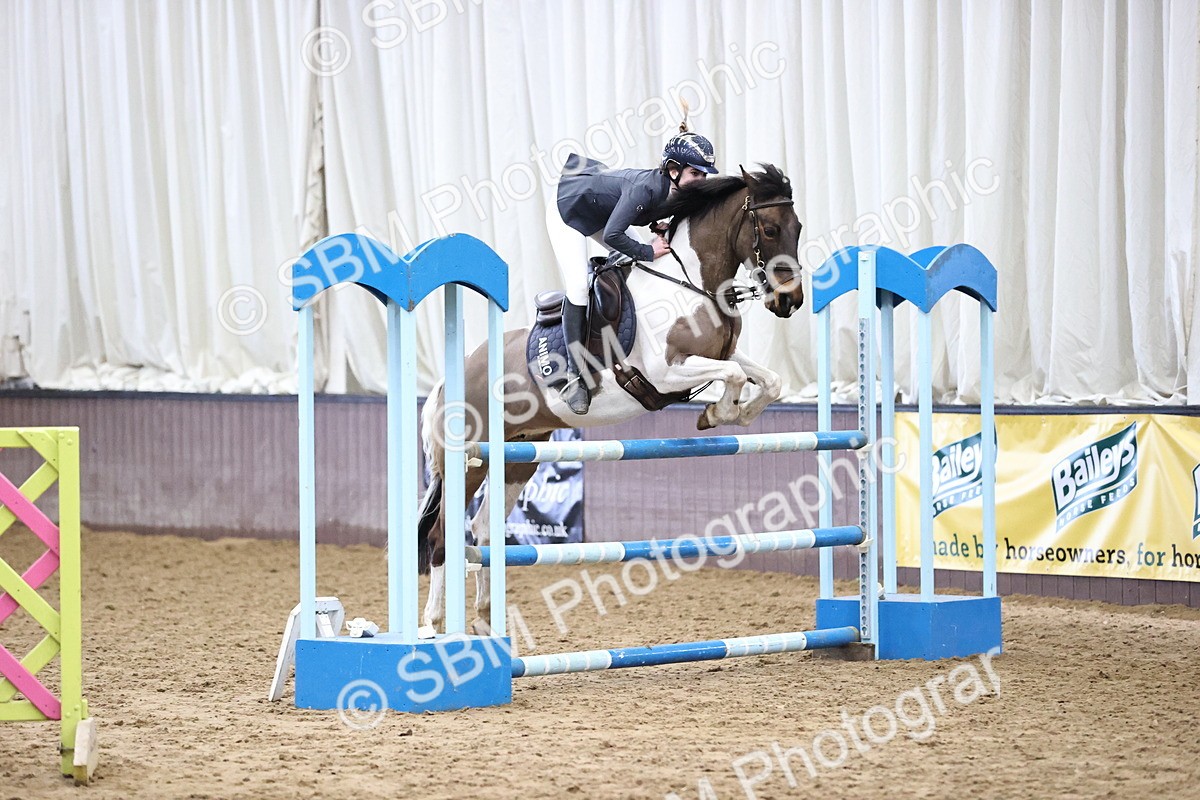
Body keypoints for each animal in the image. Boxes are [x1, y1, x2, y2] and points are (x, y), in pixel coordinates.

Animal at [417, 164, 805, 635]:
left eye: (798, 229)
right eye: (770, 229)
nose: (790, 300)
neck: (693, 282)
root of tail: (449, 380)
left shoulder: (721, 355)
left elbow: (770, 381)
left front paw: (729, 413)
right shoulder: (665, 371)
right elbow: (731, 377)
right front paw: (716, 413)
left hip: (517, 457)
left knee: (484, 529)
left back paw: (487, 624)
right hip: (470, 460)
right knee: (442, 535)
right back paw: (435, 625)